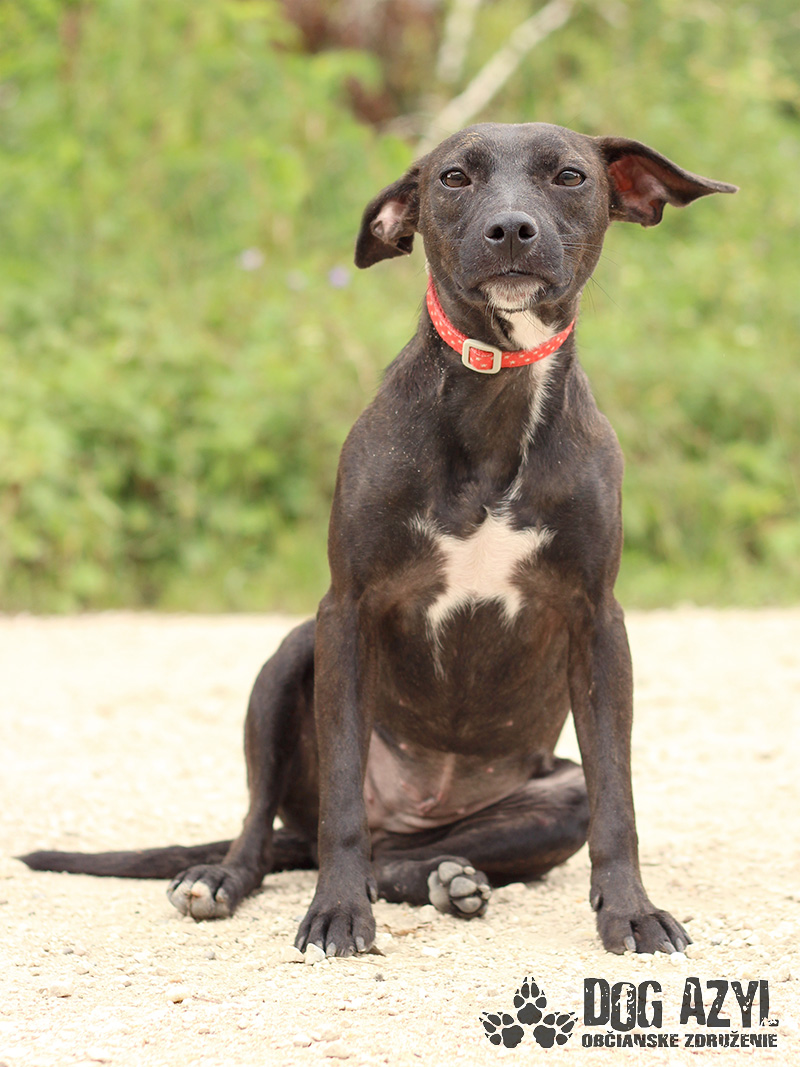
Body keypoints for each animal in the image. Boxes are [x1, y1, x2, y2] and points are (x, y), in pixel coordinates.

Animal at [21, 122, 736, 957]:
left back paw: (449, 879)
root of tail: (413, 810)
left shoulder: (598, 623)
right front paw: (335, 909)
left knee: (407, 857)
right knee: (270, 826)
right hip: (290, 659)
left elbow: (618, 801)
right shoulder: (348, 611)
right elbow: (340, 804)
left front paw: (631, 910)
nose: (511, 230)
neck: (496, 395)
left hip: (552, 796)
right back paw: (224, 878)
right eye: (454, 177)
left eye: (569, 175)